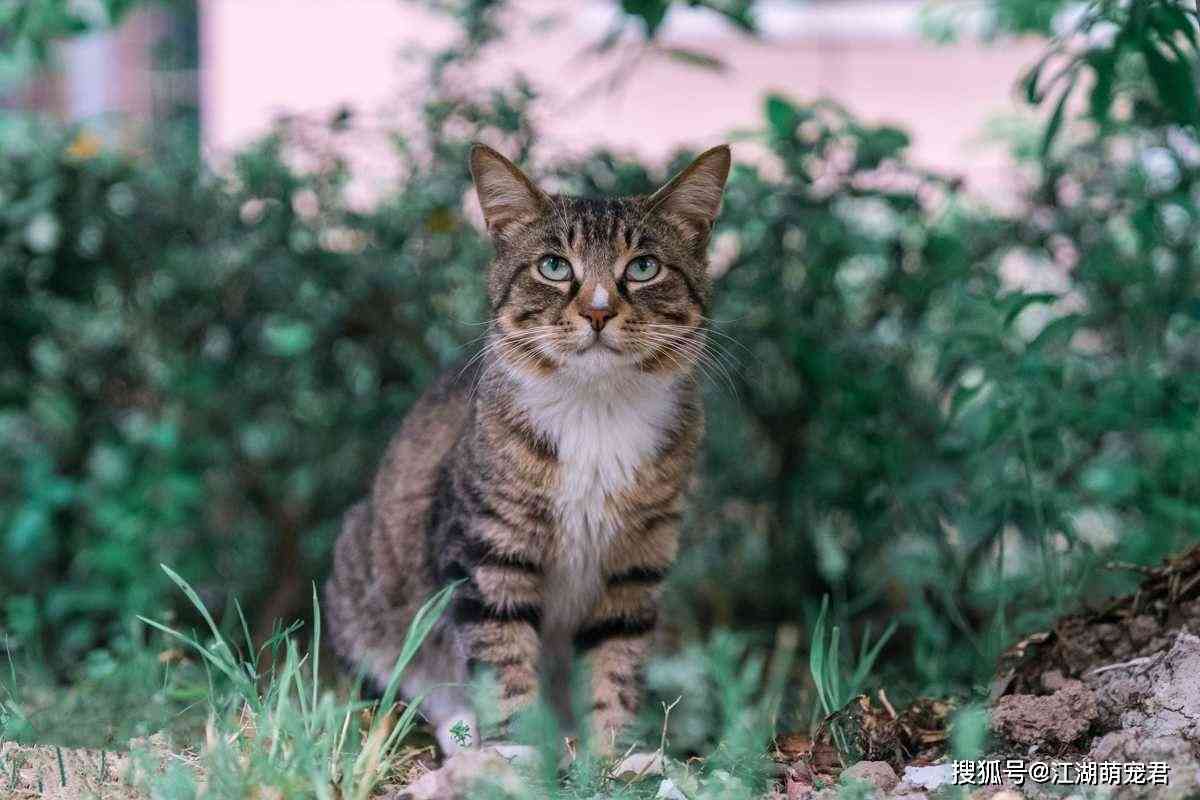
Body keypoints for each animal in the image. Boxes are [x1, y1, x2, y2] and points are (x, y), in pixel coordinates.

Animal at [321, 140, 729, 762]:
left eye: (644, 267)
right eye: (553, 266)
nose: (598, 311)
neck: (595, 412)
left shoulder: (636, 561)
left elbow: (616, 656)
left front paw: (615, 755)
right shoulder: (487, 548)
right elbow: (502, 651)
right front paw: (515, 751)